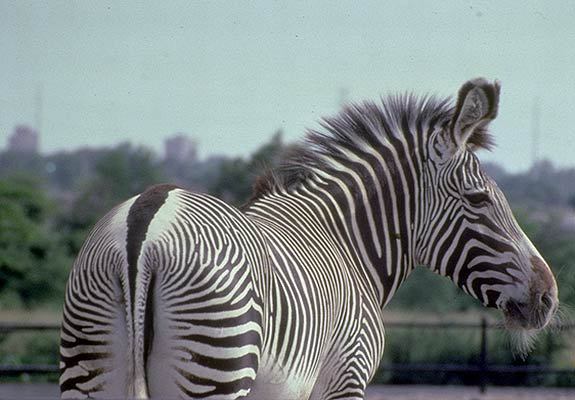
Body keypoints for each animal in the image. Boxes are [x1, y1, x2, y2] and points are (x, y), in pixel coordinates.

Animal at [60, 79, 560, 400]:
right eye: (479, 199)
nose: (549, 297)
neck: (348, 245)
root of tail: (145, 224)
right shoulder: (346, 378)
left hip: (88, 366)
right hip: (215, 366)